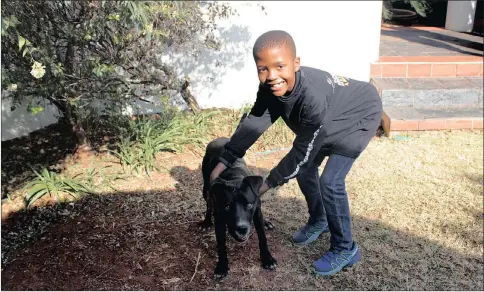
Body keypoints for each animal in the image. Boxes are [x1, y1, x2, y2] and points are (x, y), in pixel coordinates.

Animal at [199, 137, 276, 278]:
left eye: (249, 205)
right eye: (227, 207)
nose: (241, 229)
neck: (235, 177)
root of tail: (218, 139)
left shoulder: (256, 211)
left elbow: (262, 237)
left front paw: (267, 259)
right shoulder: (219, 217)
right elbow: (221, 244)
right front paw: (222, 267)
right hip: (206, 188)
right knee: (208, 205)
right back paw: (206, 223)